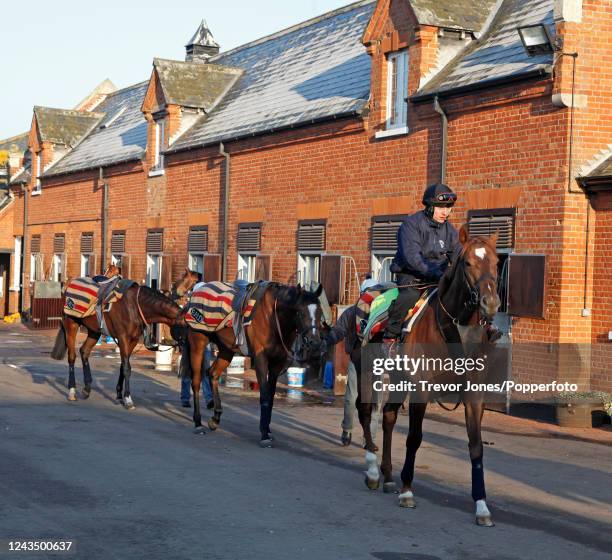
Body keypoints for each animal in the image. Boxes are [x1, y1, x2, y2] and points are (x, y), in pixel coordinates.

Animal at [50, 278, 186, 406]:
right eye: (185, 327)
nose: (185, 346)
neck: (135, 306)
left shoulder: (133, 340)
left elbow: (123, 365)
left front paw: (120, 394)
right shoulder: (123, 338)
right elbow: (126, 367)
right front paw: (128, 398)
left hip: (94, 331)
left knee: (84, 351)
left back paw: (87, 389)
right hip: (71, 325)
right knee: (72, 356)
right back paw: (72, 390)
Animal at [180, 284, 326, 446]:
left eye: (319, 312)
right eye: (300, 312)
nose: (314, 342)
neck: (273, 318)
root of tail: (196, 292)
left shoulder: (277, 363)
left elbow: (271, 397)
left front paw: (267, 430)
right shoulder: (261, 359)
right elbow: (264, 395)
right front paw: (264, 434)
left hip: (226, 349)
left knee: (213, 374)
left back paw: (215, 418)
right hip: (198, 343)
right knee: (196, 381)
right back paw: (198, 423)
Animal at [356, 225, 500, 528]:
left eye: (496, 262)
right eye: (467, 263)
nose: (490, 303)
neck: (454, 329)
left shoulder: (474, 395)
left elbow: (476, 446)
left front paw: (481, 506)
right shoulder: (421, 388)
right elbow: (414, 437)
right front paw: (407, 491)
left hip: (398, 380)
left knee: (388, 417)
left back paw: (388, 476)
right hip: (367, 374)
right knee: (366, 415)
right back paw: (374, 472)